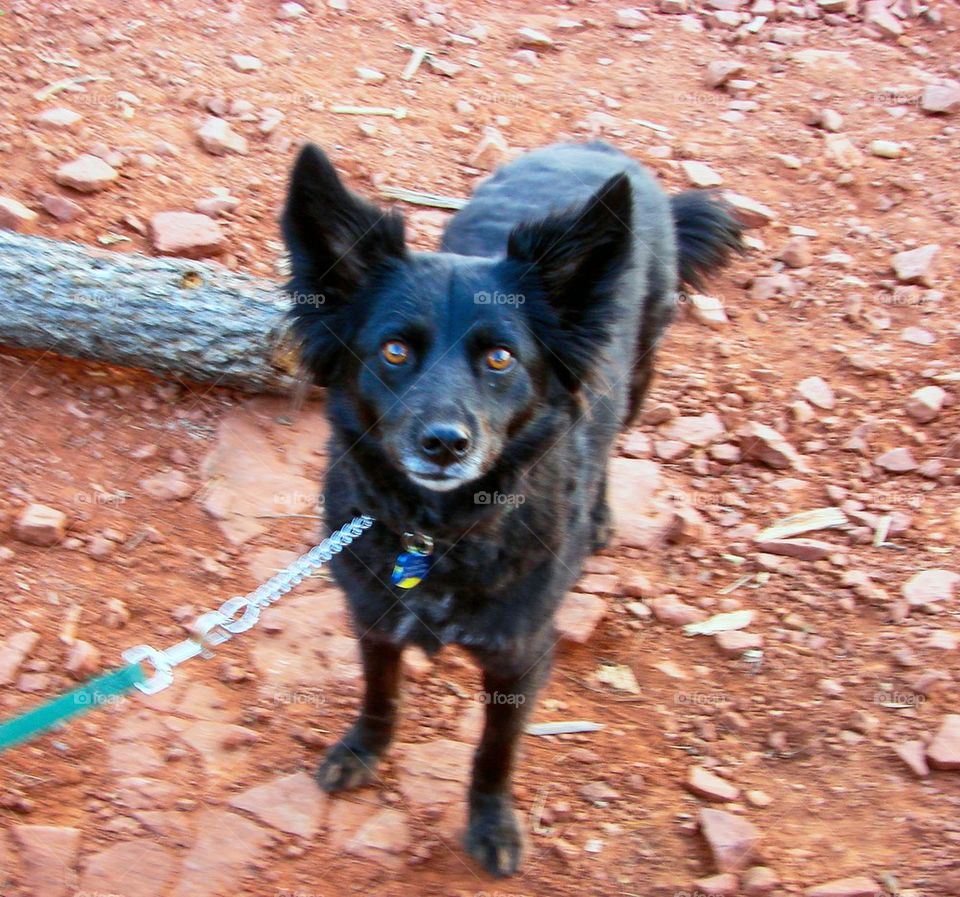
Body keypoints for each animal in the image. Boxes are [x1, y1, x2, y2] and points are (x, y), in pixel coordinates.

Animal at [280, 140, 744, 876]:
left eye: (500, 357)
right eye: (394, 349)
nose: (445, 442)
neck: (437, 535)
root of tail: (596, 147)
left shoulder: (520, 657)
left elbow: (495, 751)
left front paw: (491, 823)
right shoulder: (373, 617)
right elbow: (380, 692)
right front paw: (363, 748)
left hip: (638, 369)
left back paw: (601, 517)